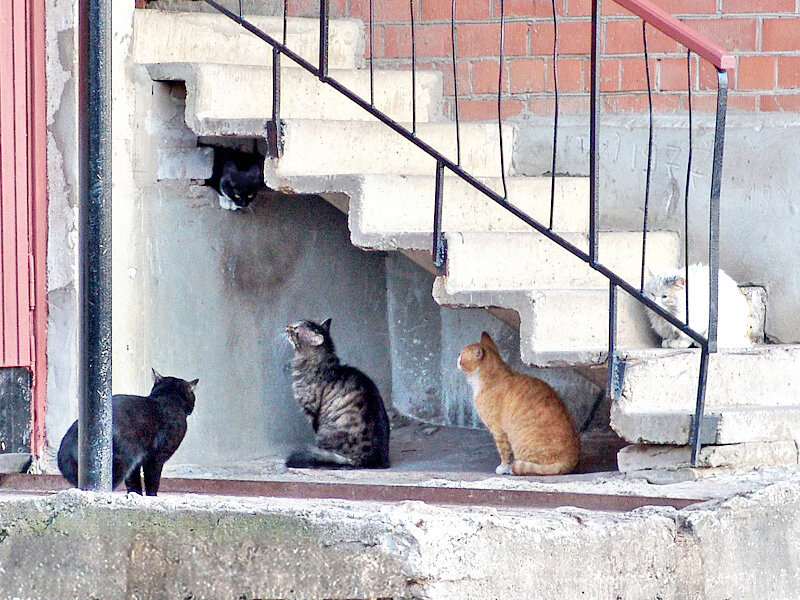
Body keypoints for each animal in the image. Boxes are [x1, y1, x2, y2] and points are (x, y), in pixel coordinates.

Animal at [56, 370, 198, 496]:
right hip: (120, 463)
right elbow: (152, 482)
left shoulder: (137, 464)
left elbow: (134, 483)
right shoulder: (155, 459)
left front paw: (135, 496)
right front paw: (151, 497)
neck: (167, 399)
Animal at [456, 330, 580, 476]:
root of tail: (568, 462)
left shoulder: (498, 431)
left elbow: (504, 453)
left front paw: (503, 467)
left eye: (460, 354)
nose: (456, 358)